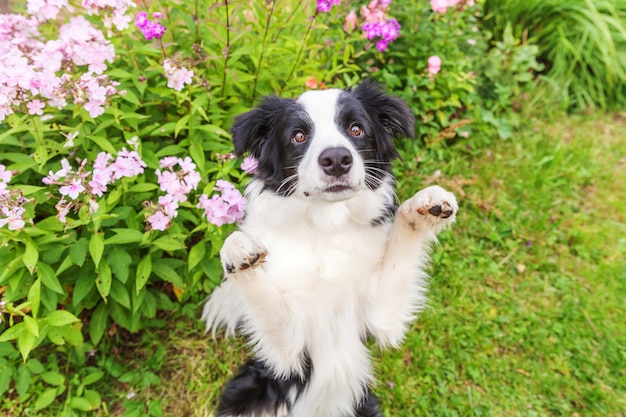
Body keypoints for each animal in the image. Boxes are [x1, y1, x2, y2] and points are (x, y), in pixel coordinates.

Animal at [202, 82, 456, 416]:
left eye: (356, 129)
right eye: (298, 136)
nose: (336, 159)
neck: (326, 227)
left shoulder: (380, 313)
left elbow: (401, 244)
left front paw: (425, 205)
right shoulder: (289, 349)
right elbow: (264, 296)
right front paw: (236, 249)